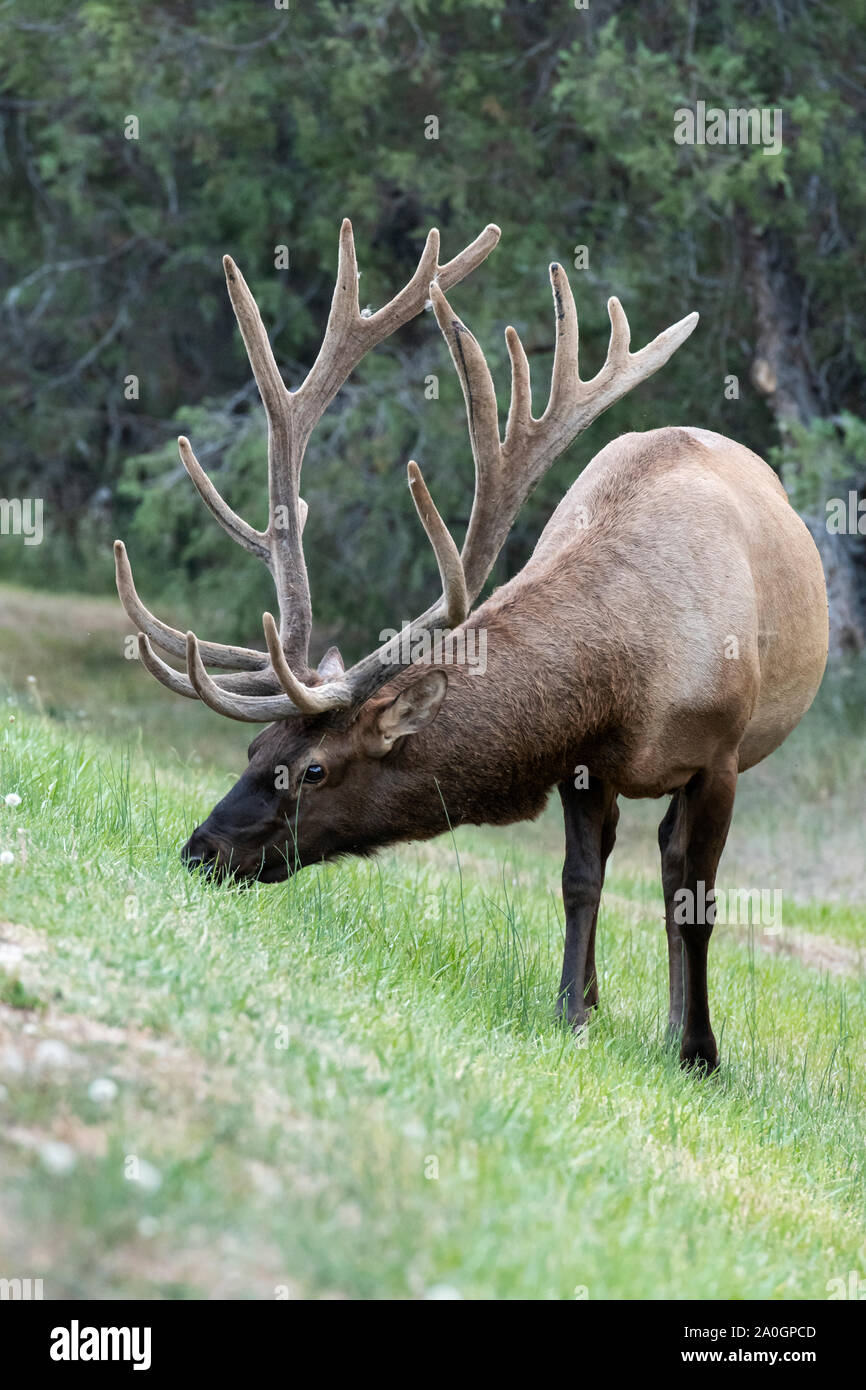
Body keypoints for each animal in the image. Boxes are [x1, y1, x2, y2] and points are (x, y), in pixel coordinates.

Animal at [113, 216, 828, 1067]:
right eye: (256, 751)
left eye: (314, 768)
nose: (202, 849)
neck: (635, 681)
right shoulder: (583, 760)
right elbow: (580, 879)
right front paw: (571, 1011)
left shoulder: (719, 759)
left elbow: (697, 899)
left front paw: (698, 1053)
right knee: (632, 850)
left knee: (673, 867)